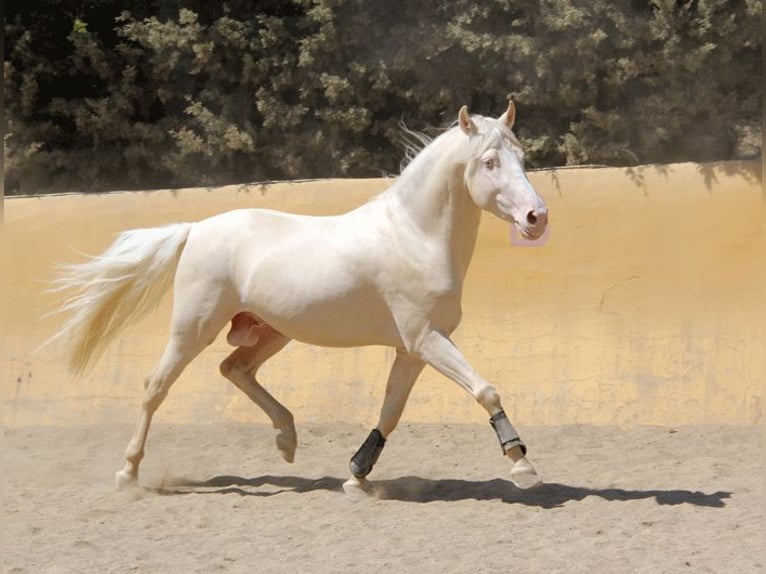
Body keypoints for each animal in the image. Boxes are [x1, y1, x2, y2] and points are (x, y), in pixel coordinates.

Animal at [48, 103, 548, 496]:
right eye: (489, 162)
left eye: (522, 157)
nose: (536, 217)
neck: (413, 235)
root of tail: (196, 229)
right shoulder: (426, 338)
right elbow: (484, 389)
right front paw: (522, 462)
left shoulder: (412, 349)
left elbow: (390, 411)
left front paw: (356, 475)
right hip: (194, 328)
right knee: (157, 386)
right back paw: (128, 473)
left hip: (272, 332)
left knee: (235, 369)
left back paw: (286, 440)